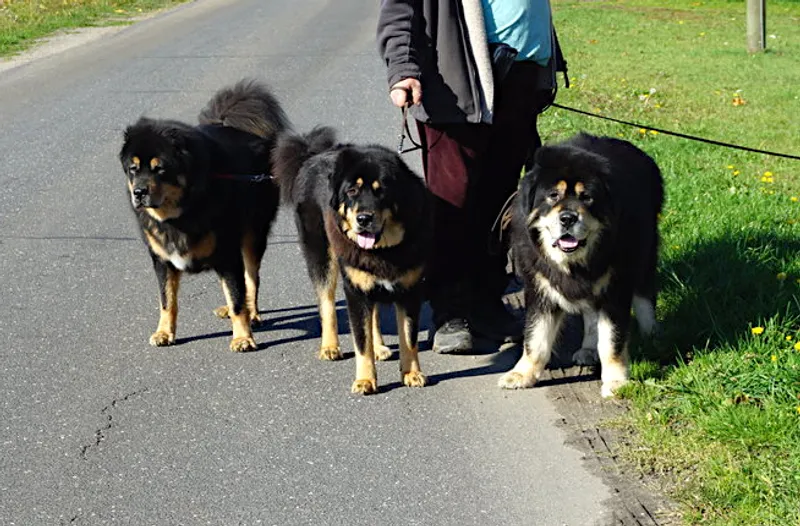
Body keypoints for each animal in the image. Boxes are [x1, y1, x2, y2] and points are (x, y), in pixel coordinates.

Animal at [119, 79, 288, 352]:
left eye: (159, 169)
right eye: (133, 169)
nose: (139, 192)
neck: (179, 214)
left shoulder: (228, 255)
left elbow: (238, 298)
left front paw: (242, 337)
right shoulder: (162, 260)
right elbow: (167, 300)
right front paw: (164, 332)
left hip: (252, 236)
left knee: (251, 279)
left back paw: (252, 313)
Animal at [273, 127, 431, 394]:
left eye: (381, 191)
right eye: (352, 191)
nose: (363, 219)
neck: (383, 250)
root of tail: (313, 155)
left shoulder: (409, 290)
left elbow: (409, 337)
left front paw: (412, 373)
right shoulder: (355, 290)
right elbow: (360, 341)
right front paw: (365, 380)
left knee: (374, 314)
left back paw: (379, 347)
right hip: (322, 257)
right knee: (326, 303)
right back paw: (330, 346)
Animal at [499, 132, 664, 398]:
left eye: (587, 197)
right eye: (553, 195)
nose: (568, 218)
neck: (574, 261)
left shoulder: (615, 288)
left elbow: (612, 341)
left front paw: (615, 381)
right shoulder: (540, 287)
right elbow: (535, 336)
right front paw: (523, 374)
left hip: (644, 254)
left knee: (644, 294)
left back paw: (652, 333)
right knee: (590, 313)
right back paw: (588, 349)